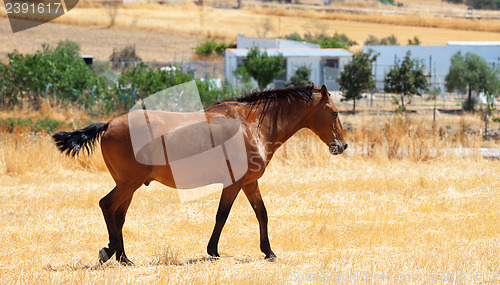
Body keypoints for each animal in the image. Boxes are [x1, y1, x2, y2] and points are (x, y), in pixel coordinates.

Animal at [51, 82, 348, 264]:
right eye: (334, 113)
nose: (342, 145)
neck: (252, 125)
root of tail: (110, 123)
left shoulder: (250, 183)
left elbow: (261, 213)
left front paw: (268, 251)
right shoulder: (235, 183)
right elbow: (222, 215)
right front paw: (213, 251)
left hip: (129, 185)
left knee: (118, 215)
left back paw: (123, 257)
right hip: (128, 183)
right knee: (107, 205)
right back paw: (110, 251)